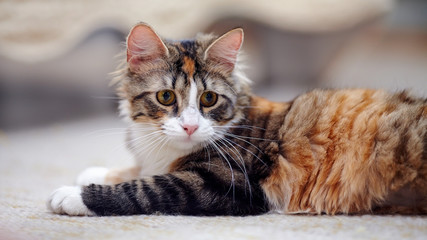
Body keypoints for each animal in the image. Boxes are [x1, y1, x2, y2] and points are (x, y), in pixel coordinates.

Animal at [47, 23, 427, 217]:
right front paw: (95, 172)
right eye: (166, 97)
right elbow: (136, 171)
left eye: (209, 99)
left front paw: (71, 195)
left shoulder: (226, 182)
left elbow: (143, 187)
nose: (189, 125)